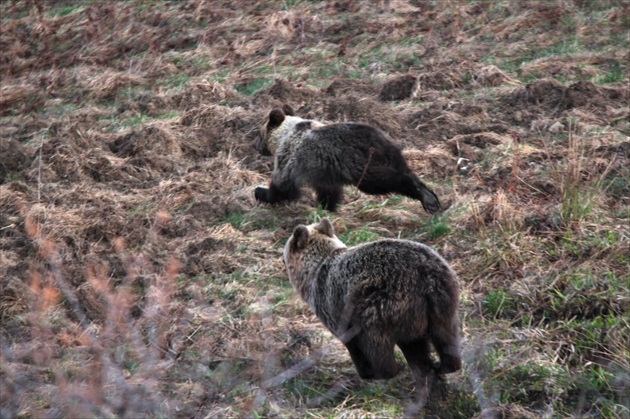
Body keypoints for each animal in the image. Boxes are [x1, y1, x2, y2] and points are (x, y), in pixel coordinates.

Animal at [254, 106, 442, 213]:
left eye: (259, 133)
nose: (256, 146)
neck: (283, 136)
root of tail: (381, 137)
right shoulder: (324, 172)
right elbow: (329, 192)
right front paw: (327, 207)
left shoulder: (291, 157)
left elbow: (281, 184)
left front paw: (261, 192)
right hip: (389, 155)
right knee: (405, 171)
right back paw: (431, 196)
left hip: (362, 163)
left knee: (389, 179)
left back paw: (427, 198)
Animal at [284, 218, 462, 388]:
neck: (314, 270)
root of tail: (426, 278)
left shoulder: (332, 304)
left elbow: (351, 342)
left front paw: (364, 371)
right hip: (443, 297)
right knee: (445, 335)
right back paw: (444, 366)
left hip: (378, 304)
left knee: (375, 342)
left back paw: (384, 372)